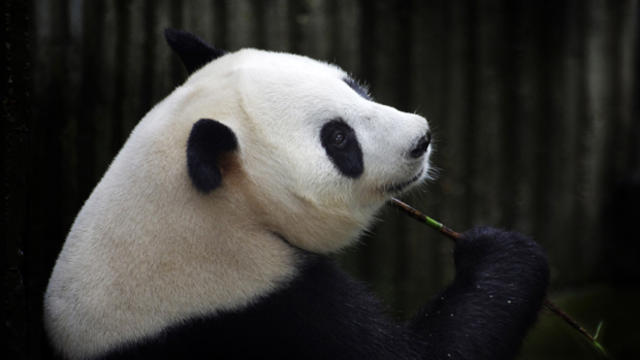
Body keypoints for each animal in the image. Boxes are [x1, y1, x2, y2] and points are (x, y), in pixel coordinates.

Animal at [42, 29, 548, 358]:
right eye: (339, 139)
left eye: (354, 86)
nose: (420, 139)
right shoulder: (258, 309)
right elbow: (425, 353)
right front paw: (502, 251)